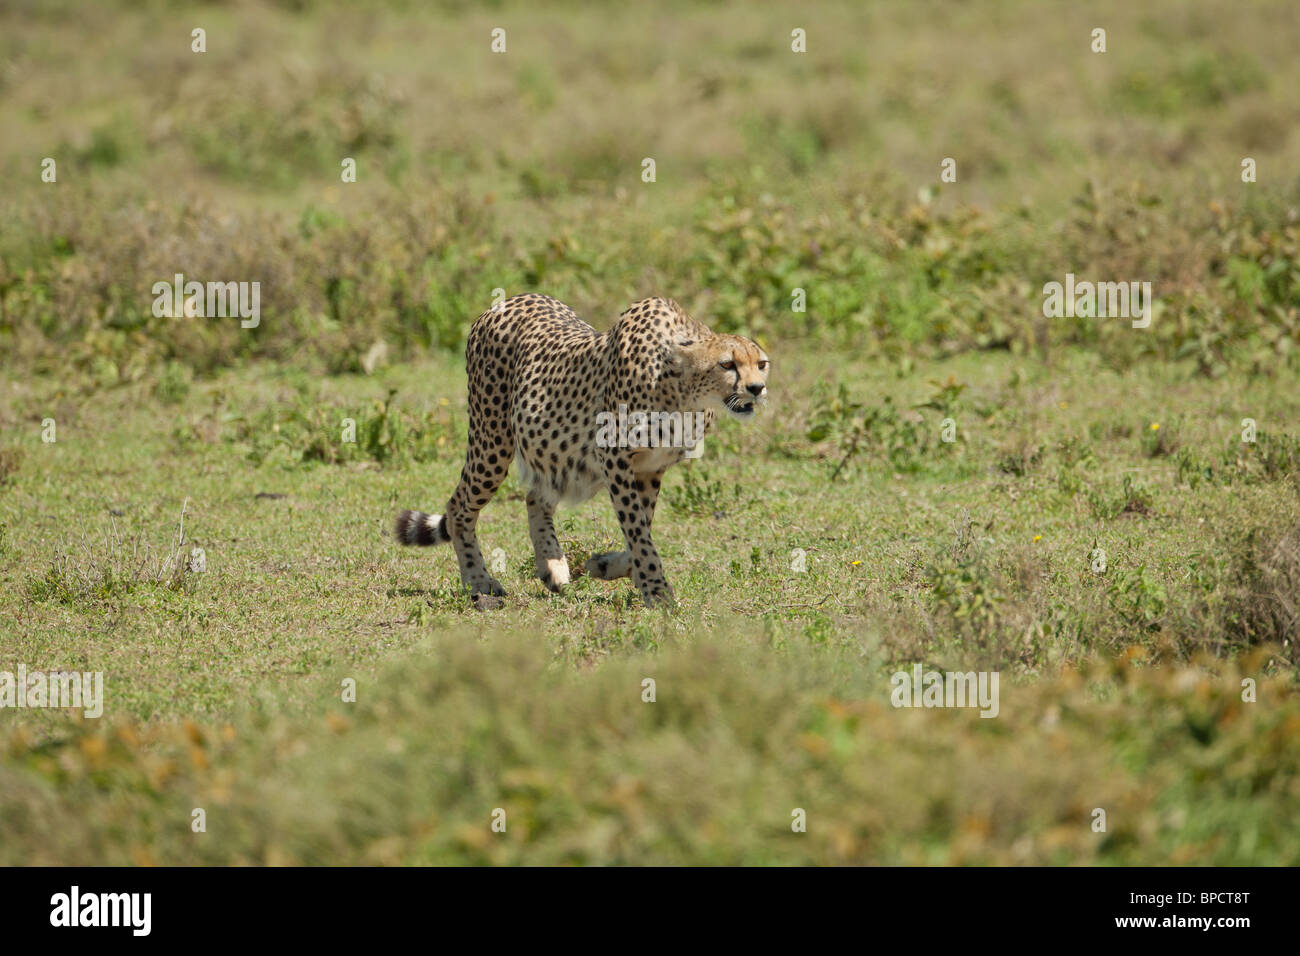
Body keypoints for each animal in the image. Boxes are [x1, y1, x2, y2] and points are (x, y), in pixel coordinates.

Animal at [394, 293, 769, 607]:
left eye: (761, 363)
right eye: (727, 364)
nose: (757, 388)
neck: (684, 392)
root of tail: (505, 302)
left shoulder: (649, 468)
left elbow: (640, 530)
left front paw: (605, 565)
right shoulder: (615, 458)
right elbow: (637, 530)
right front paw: (657, 590)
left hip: (547, 447)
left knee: (535, 496)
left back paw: (552, 566)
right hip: (492, 443)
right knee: (459, 506)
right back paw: (479, 580)